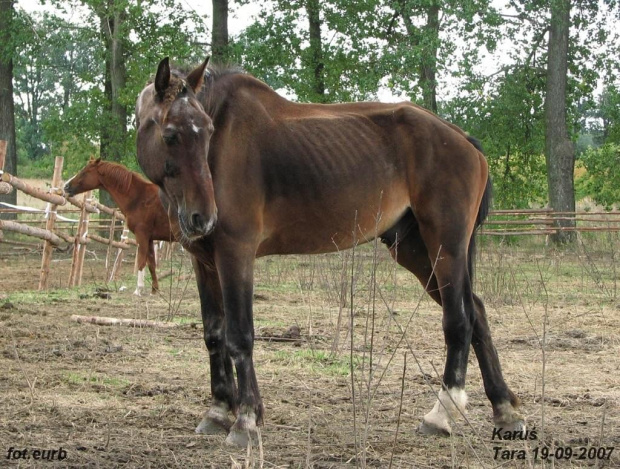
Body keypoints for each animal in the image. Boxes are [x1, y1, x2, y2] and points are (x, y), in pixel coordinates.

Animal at [64, 159, 174, 294]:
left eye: (85, 172)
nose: (66, 186)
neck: (139, 198)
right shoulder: (150, 239)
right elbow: (151, 264)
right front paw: (154, 290)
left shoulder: (142, 236)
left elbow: (141, 262)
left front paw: (138, 290)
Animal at [134, 57, 524, 446]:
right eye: (171, 135)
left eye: (208, 132)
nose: (202, 217)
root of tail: (462, 139)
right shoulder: (203, 261)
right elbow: (214, 334)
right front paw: (217, 412)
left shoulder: (235, 253)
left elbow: (240, 335)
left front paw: (245, 420)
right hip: (416, 252)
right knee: (477, 313)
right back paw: (505, 411)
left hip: (446, 244)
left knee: (459, 320)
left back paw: (441, 414)